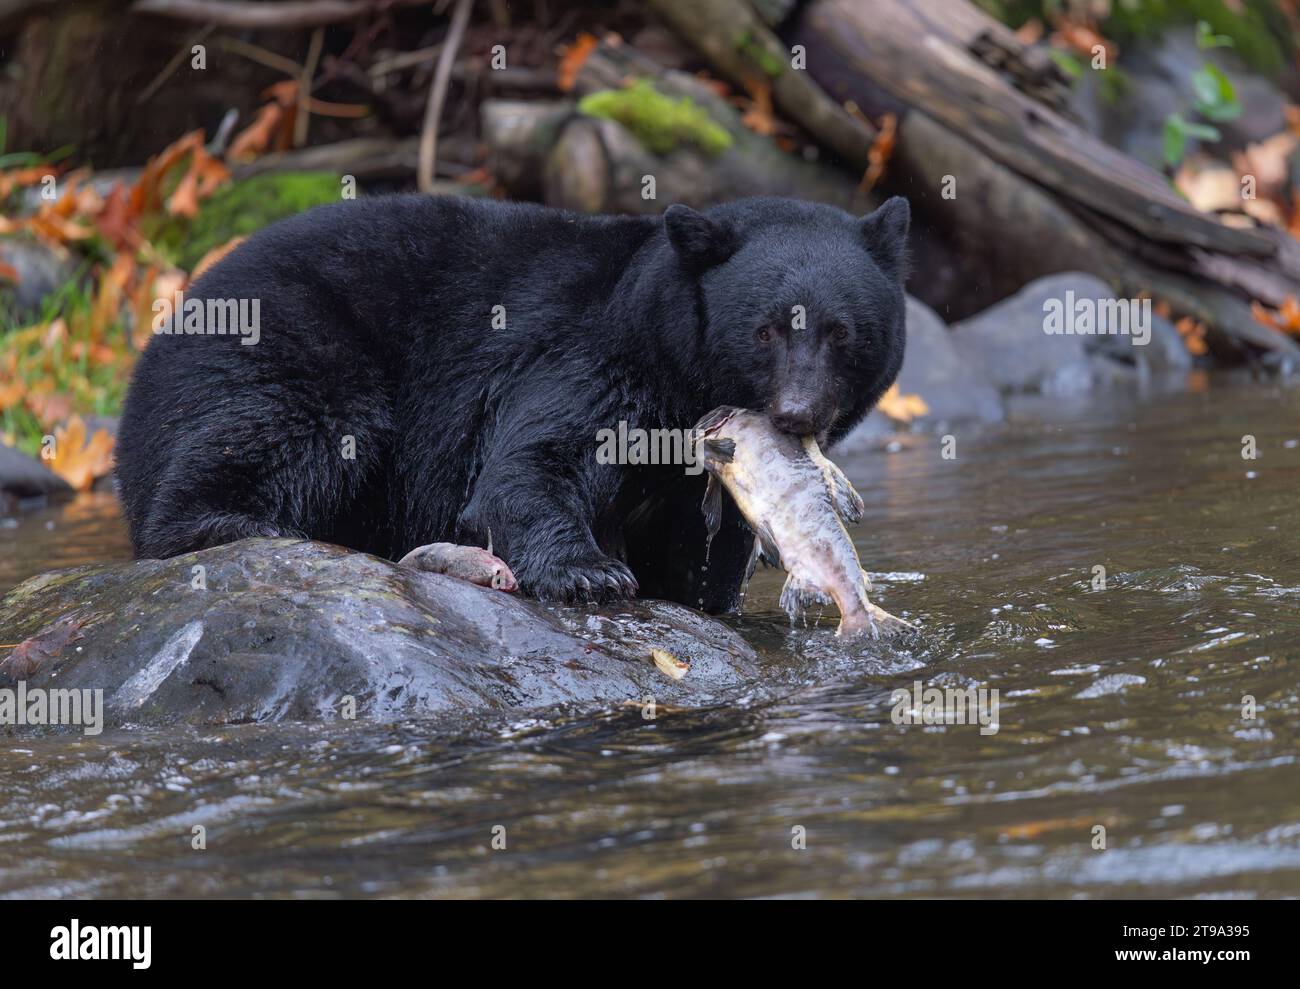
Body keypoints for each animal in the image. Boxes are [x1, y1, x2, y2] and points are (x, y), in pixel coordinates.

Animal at [116, 193, 909, 610]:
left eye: (842, 331)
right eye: (767, 329)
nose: (798, 415)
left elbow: (699, 545)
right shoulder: (591, 353)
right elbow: (530, 461)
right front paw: (591, 572)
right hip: (286, 343)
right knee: (286, 428)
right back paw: (238, 523)